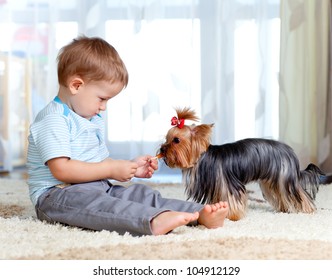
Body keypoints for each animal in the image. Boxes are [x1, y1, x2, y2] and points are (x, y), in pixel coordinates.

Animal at [158, 107, 332, 221]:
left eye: (176, 140)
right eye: (166, 139)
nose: (162, 148)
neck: (202, 158)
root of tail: (291, 153)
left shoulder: (228, 184)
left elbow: (233, 200)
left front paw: (232, 216)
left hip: (284, 178)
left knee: (300, 194)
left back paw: (308, 210)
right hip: (272, 181)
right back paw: (283, 209)